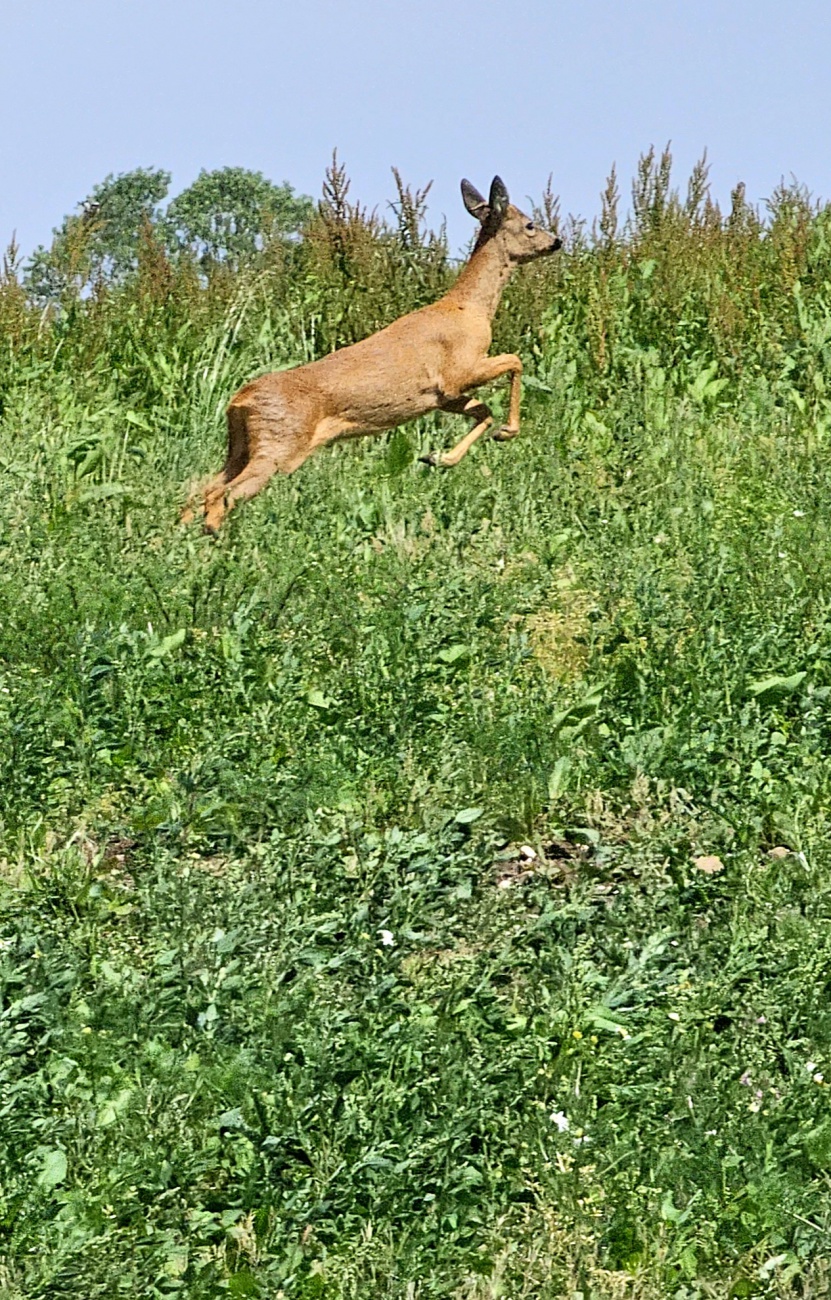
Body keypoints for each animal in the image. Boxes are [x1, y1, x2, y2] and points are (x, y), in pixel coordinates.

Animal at [182, 176, 562, 533]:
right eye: (530, 224)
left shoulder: (440, 396)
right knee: (221, 496)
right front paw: (507, 431)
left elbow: (482, 411)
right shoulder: (459, 370)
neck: (470, 309)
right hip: (279, 446)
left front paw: (436, 457)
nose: (556, 241)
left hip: (242, 445)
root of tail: (238, 401)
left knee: (200, 489)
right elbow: (515, 361)